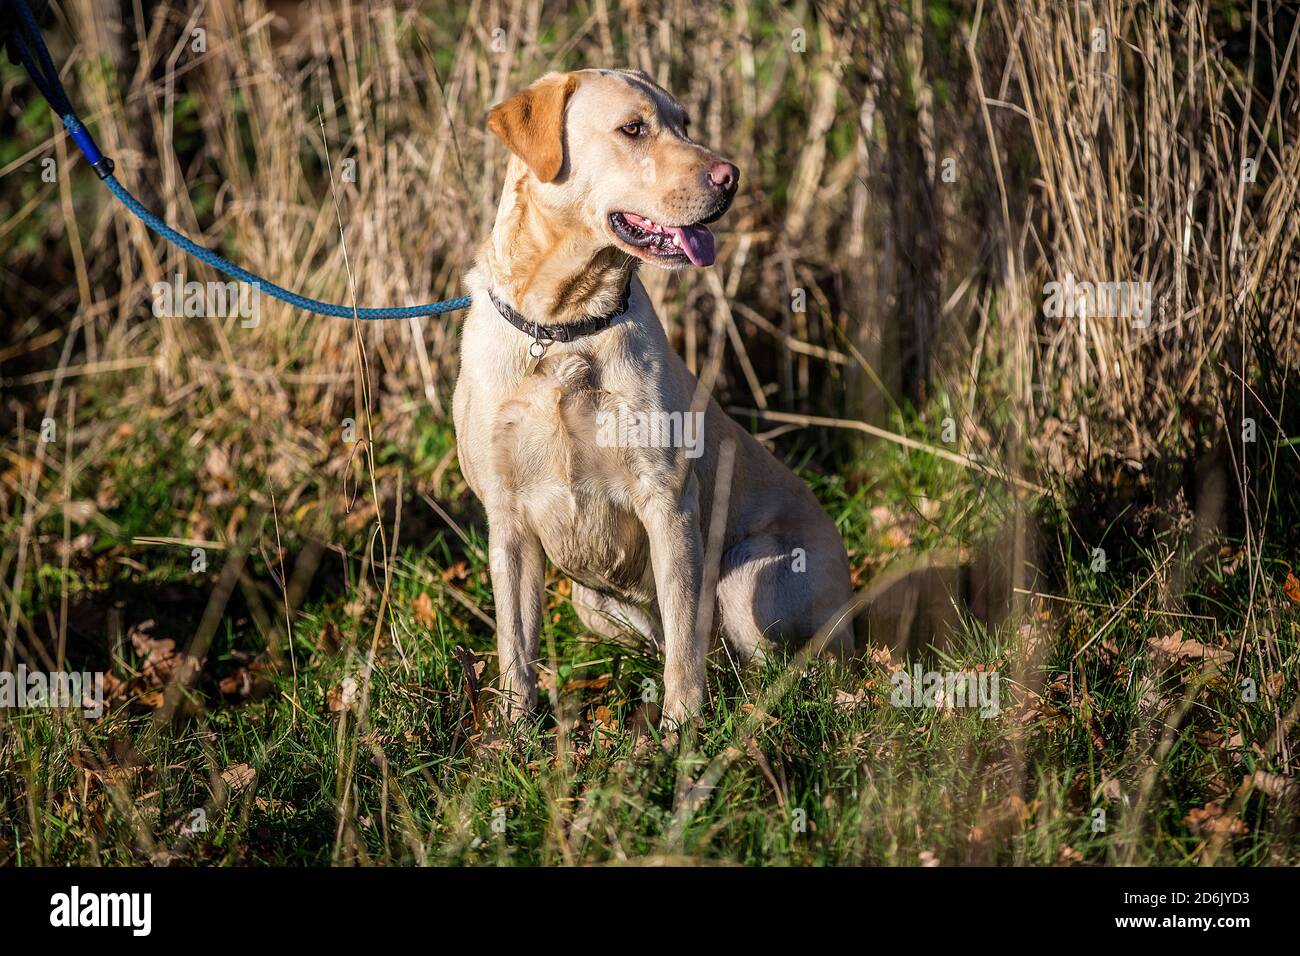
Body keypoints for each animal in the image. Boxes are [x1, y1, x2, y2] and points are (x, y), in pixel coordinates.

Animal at [454, 69, 852, 723]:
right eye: (633, 128)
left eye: (685, 123)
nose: (730, 175)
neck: (564, 325)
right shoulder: (506, 517)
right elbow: (515, 642)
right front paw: (512, 732)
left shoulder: (667, 499)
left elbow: (685, 635)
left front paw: (681, 728)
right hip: (590, 602)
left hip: (747, 582)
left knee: (786, 668)